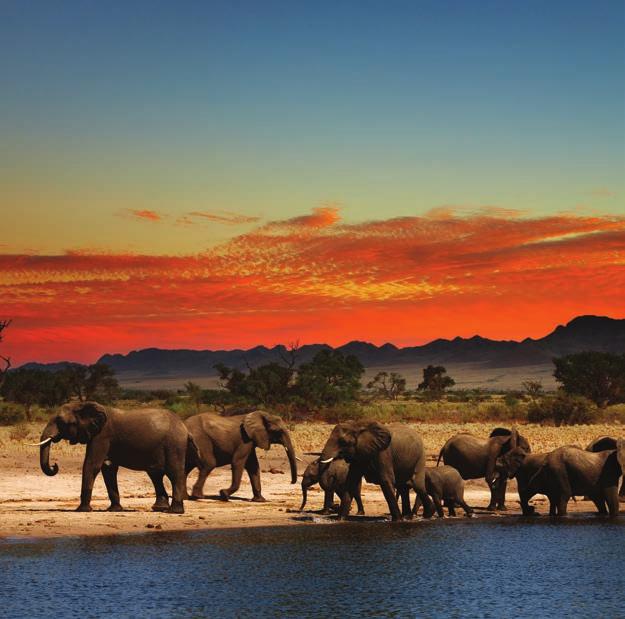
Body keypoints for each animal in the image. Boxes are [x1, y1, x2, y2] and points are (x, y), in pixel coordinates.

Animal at [36, 402, 197, 512]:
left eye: (61, 422)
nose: (54, 465)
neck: (84, 405)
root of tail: (185, 428)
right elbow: (108, 468)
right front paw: (114, 510)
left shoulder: (102, 436)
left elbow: (92, 465)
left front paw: (81, 510)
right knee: (155, 474)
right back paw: (159, 508)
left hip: (174, 444)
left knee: (174, 473)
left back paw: (174, 511)